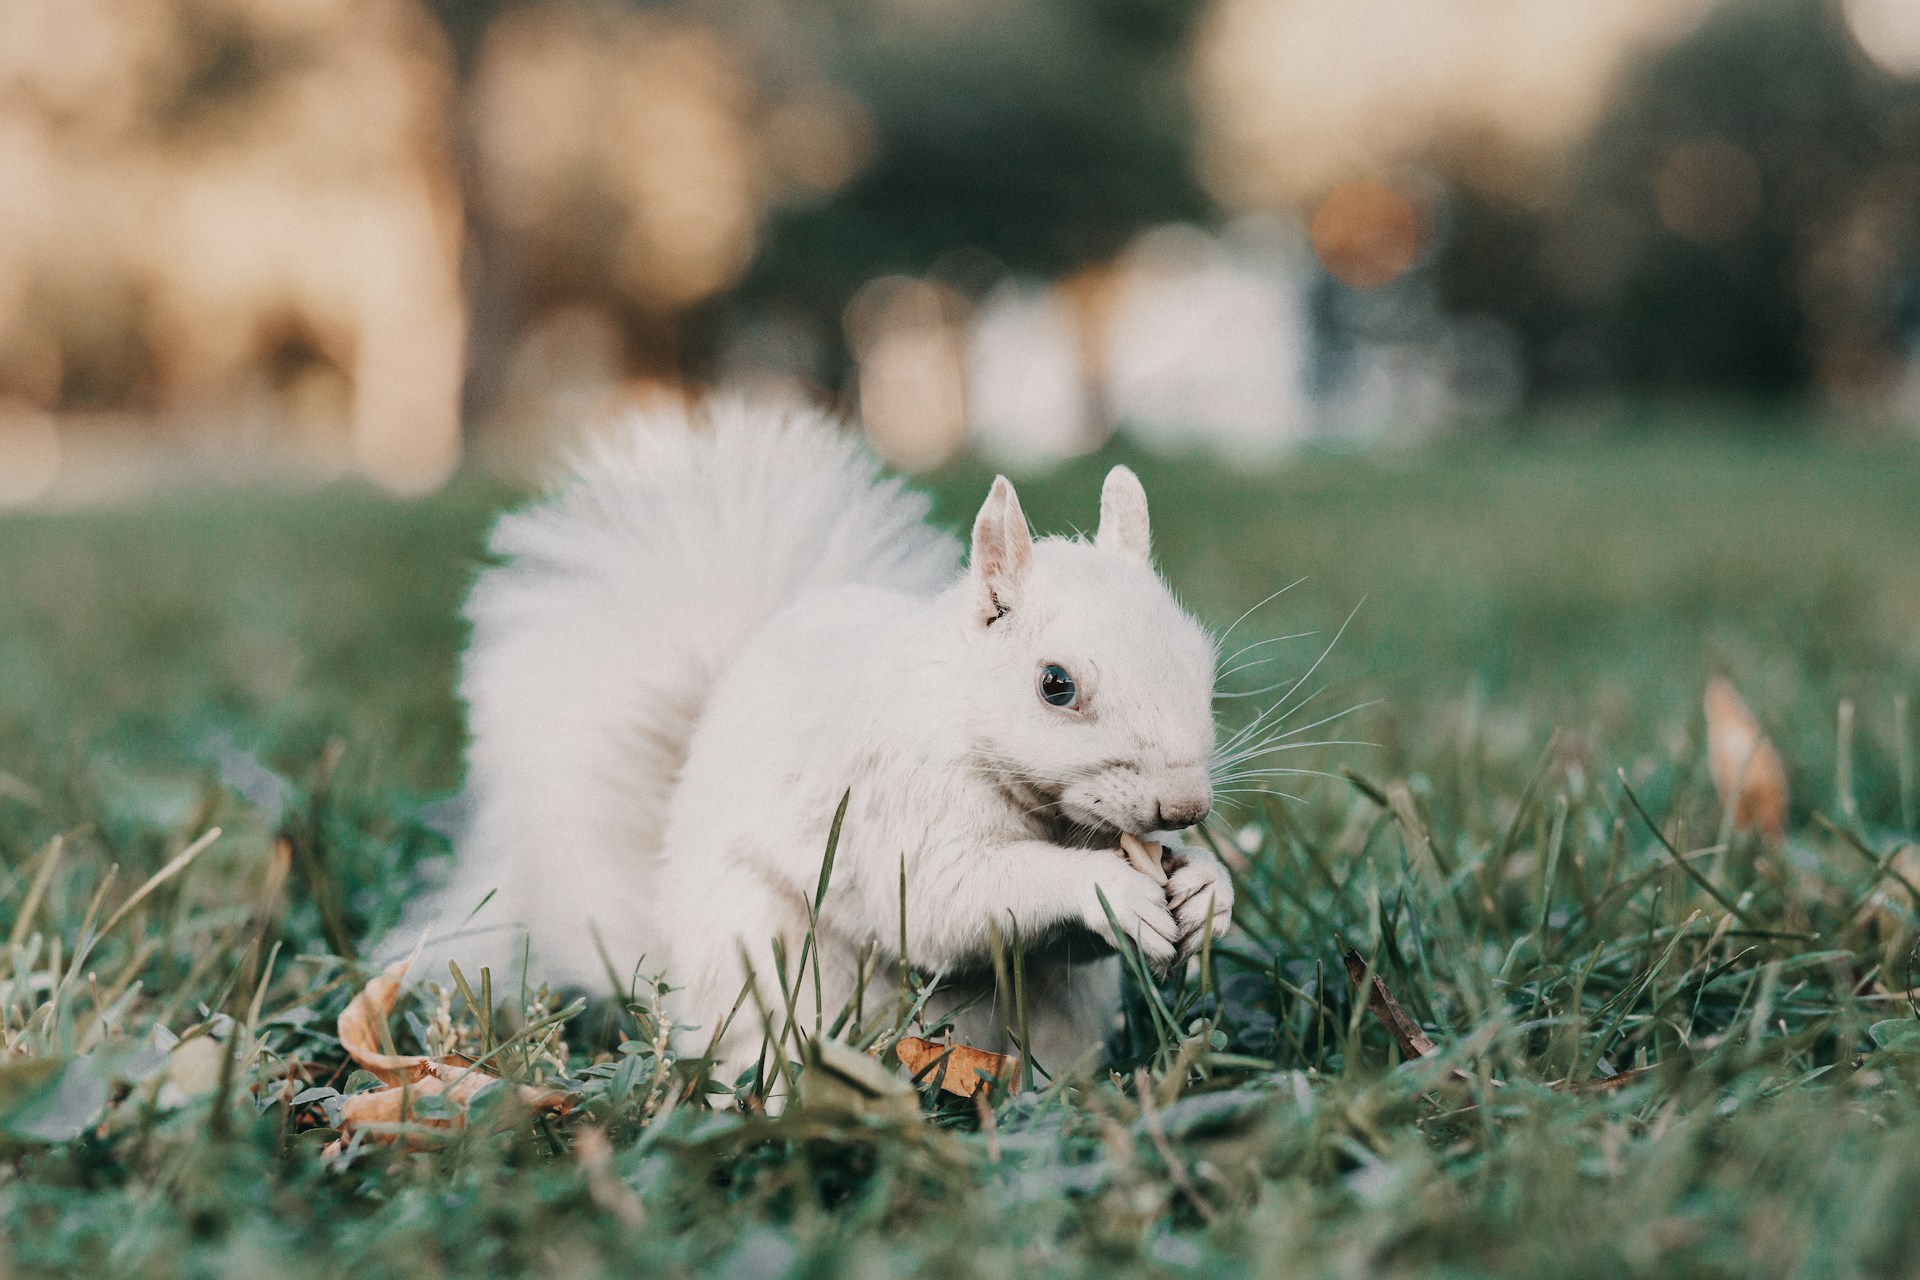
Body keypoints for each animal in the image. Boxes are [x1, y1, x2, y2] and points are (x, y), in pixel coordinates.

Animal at [402, 399, 1233, 1087]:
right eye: (1055, 685)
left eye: (1202, 657)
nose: (1184, 806)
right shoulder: (893, 808)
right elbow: (947, 901)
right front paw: (1110, 889)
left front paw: (1205, 890)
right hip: (775, 978)